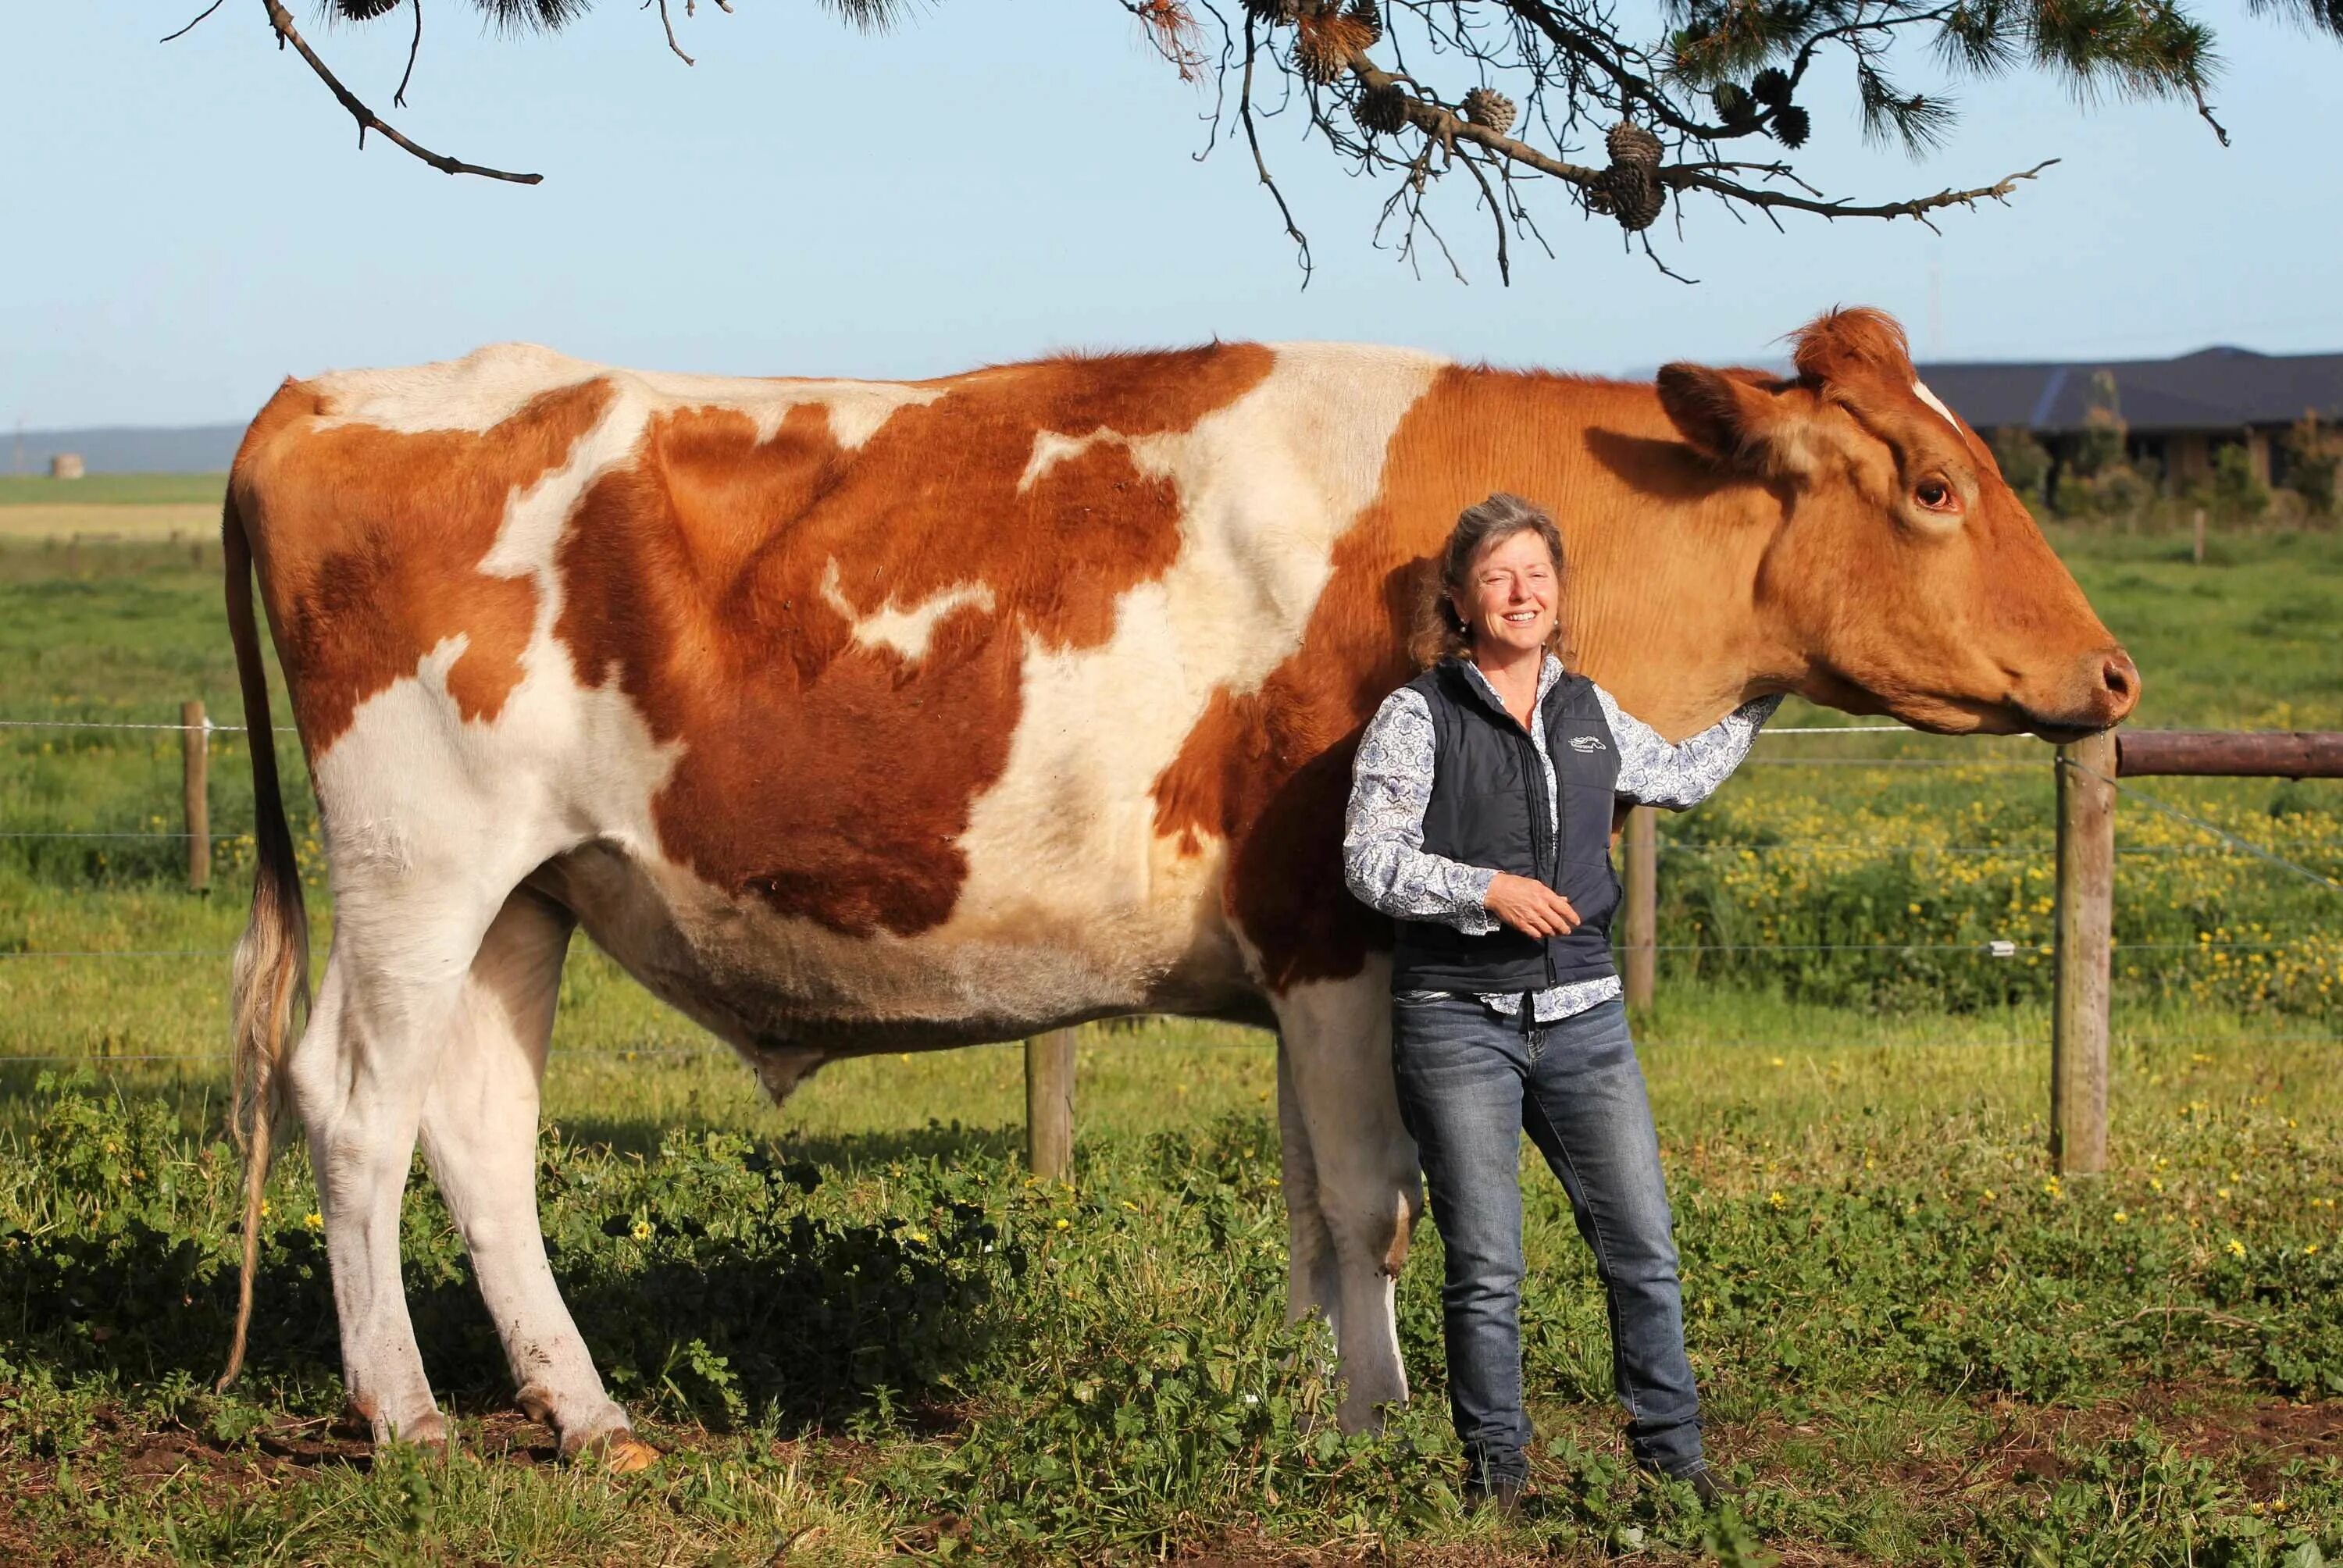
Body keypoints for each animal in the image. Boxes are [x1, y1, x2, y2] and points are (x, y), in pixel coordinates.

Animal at [220, 305, 2146, 1471]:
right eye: (1934, 482)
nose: (2116, 673)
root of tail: (333, 394)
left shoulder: (1302, 967)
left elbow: (1309, 1202)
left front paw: (1306, 1401)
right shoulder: (1339, 926)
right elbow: (1377, 1199)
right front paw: (1383, 1427)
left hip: (530, 891)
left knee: (480, 1129)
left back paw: (588, 1413)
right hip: (418, 855)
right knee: (355, 1102)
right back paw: (406, 1415)